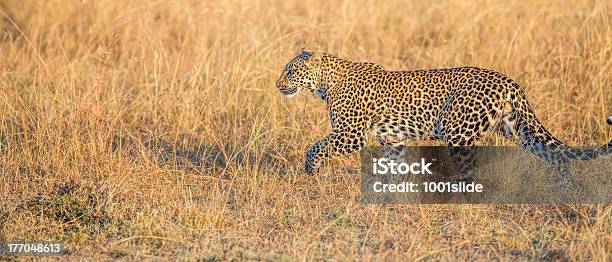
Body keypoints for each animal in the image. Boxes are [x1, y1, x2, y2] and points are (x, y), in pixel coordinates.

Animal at [274, 47, 608, 186]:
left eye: (290, 71)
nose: (277, 84)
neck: (324, 84)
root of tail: (508, 81)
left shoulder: (350, 133)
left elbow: (315, 146)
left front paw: (310, 169)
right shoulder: (391, 138)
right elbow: (393, 163)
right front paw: (391, 191)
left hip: (459, 132)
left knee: (471, 171)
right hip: (517, 128)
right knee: (556, 155)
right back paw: (567, 189)